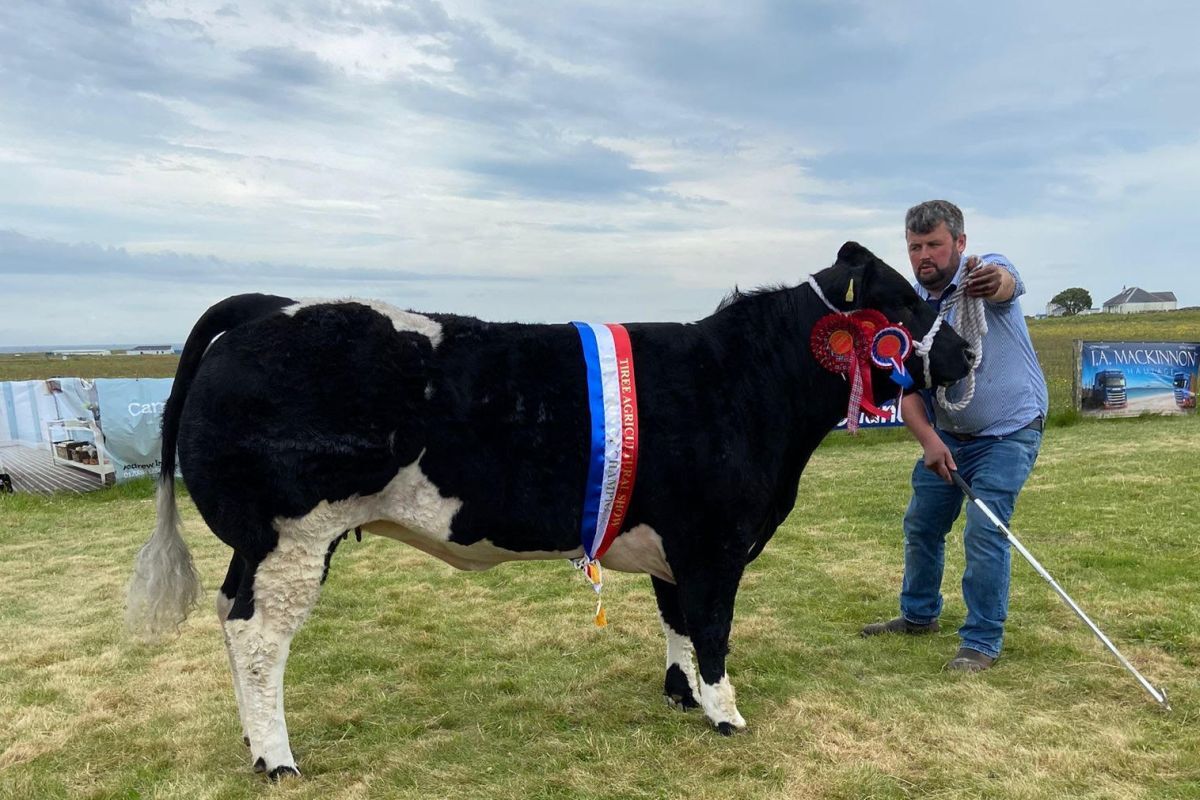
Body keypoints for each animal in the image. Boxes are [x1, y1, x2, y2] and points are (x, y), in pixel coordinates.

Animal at [126, 242, 974, 777]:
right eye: (904, 304)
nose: (966, 355)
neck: (743, 381)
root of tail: (269, 306)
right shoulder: (715, 541)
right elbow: (712, 629)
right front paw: (725, 712)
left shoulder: (670, 540)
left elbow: (674, 619)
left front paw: (681, 696)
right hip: (289, 537)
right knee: (256, 637)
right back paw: (277, 759)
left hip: (262, 544)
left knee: (233, 622)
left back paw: (256, 744)